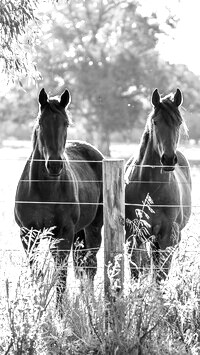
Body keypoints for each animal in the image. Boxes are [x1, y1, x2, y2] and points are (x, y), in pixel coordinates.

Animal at [14, 87, 104, 308]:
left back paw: (89, 305)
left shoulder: (63, 233)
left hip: (93, 228)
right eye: (40, 122)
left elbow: (61, 278)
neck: (45, 190)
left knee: (89, 266)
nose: (54, 165)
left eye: (66, 123)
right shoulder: (28, 234)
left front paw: (60, 312)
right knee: (82, 267)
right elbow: (37, 274)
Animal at [125, 89, 192, 280]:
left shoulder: (167, 237)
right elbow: (136, 271)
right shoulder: (134, 236)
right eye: (155, 122)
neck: (152, 188)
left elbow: (160, 275)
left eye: (179, 122)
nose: (168, 159)